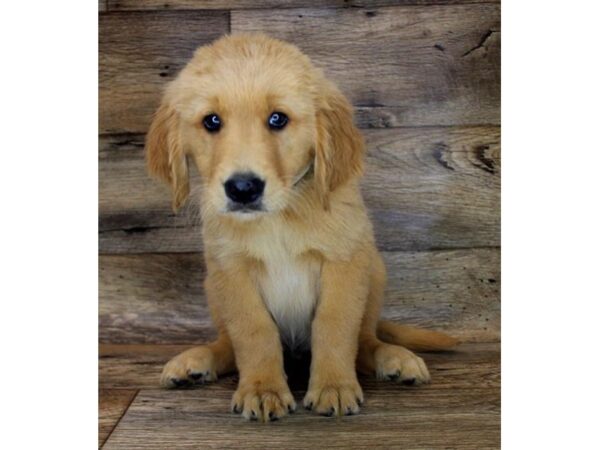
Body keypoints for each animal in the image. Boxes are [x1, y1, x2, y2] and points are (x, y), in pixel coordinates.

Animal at [148, 33, 458, 420]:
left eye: (278, 119)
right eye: (212, 121)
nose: (243, 188)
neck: (279, 217)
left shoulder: (344, 261)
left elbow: (334, 325)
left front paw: (334, 386)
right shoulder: (231, 271)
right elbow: (253, 331)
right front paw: (262, 389)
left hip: (374, 270)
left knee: (366, 342)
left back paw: (395, 359)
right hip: (212, 287)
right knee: (228, 346)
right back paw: (195, 361)